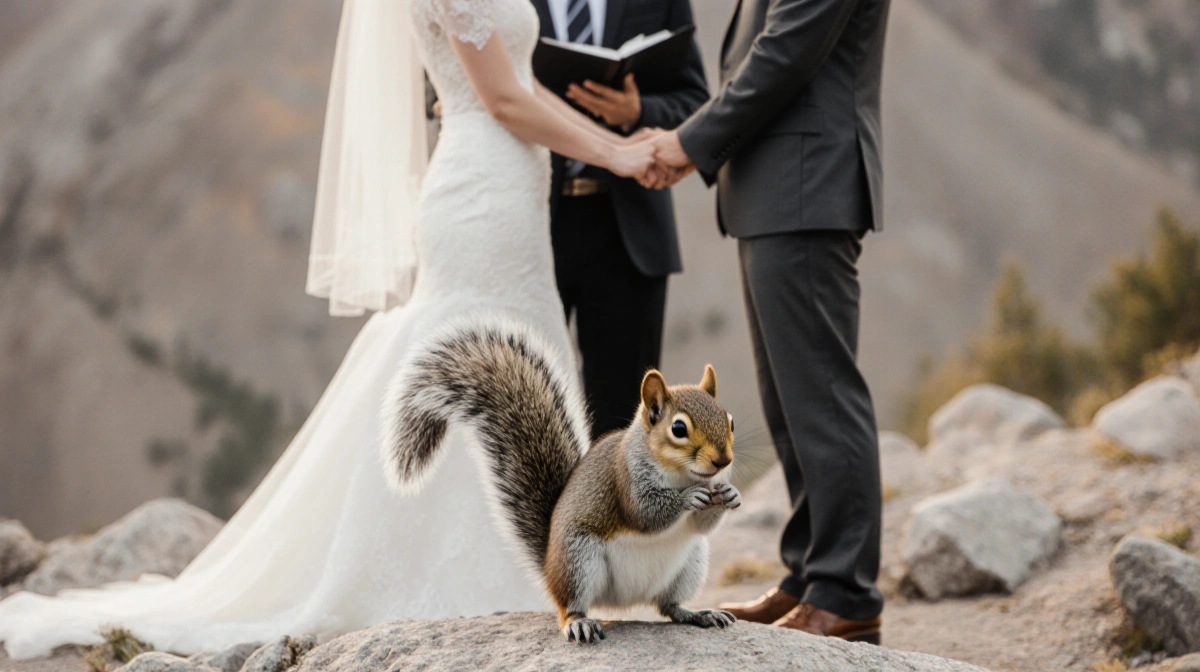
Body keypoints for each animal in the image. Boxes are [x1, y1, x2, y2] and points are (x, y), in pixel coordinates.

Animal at [382, 318, 742, 644]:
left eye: (731, 421)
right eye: (678, 429)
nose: (723, 461)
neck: (681, 474)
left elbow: (702, 523)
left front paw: (729, 493)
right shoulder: (625, 479)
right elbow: (645, 513)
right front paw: (689, 498)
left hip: (691, 563)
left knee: (668, 605)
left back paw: (699, 613)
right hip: (577, 561)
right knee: (569, 607)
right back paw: (579, 623)